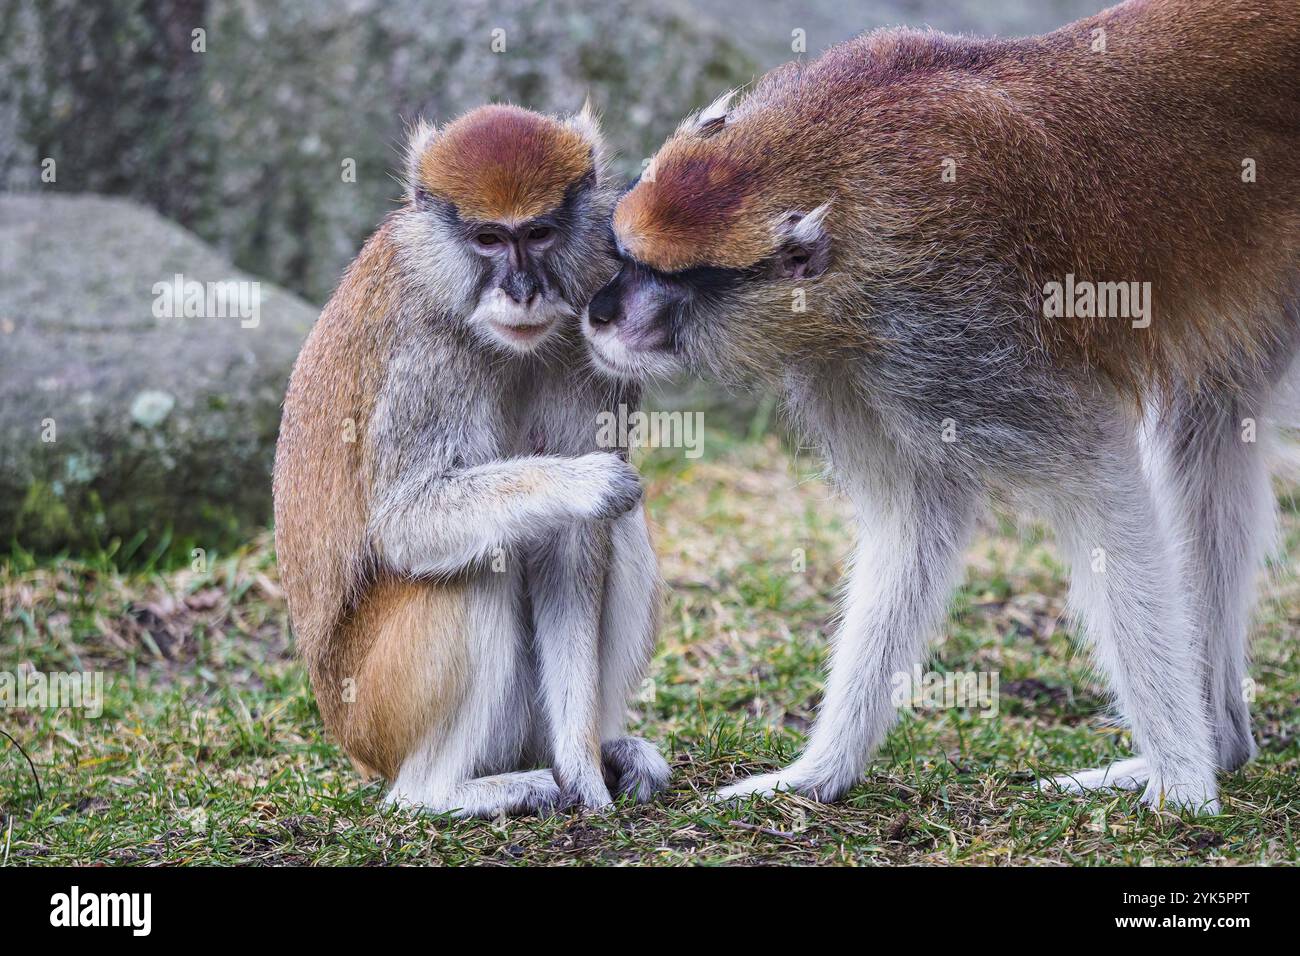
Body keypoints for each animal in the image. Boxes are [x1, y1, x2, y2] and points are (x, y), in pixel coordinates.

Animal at [273, 103, 669, 817]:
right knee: (477, 562)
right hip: (374, 710)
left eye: (538, 234)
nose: (523, 290)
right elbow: (408, 523)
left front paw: (584, 768)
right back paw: (440, 792)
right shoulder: (424, 359)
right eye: (488, 239)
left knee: (614, 530)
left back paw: (602, 748)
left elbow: (575, 547)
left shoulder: (588, 337)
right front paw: (584, 482)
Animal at [582, 0, 1300, 815]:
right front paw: (817, 773)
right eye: (625, 257)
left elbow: (1099, 483)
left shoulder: (954, 333)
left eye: (670, 279)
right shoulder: (852, 364)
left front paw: (1182, 787)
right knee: (1209, 423)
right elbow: (916, 516)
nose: (601, 312)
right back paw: (1224, 742)